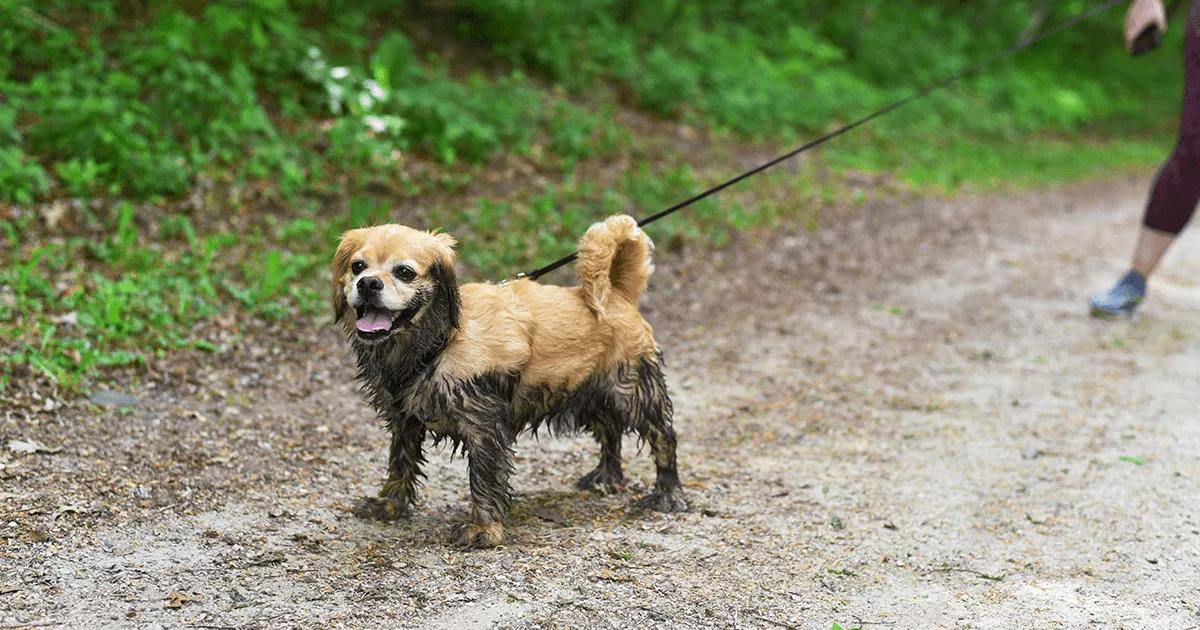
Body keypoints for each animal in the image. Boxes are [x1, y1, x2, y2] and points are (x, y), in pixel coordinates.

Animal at [333, 212, 691, 544]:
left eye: (404, 272)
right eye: (357, 266)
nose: (368, 284)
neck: (439, 342)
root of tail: (616, 293)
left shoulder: (484, 425)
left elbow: (485, 477)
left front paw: (483, 528)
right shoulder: (404, 419)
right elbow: (400, 462)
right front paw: (390, 505)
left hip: (632, 390)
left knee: (663, 437)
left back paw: (668, 494)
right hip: (588, 391)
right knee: (610, 431)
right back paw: (606, 477)